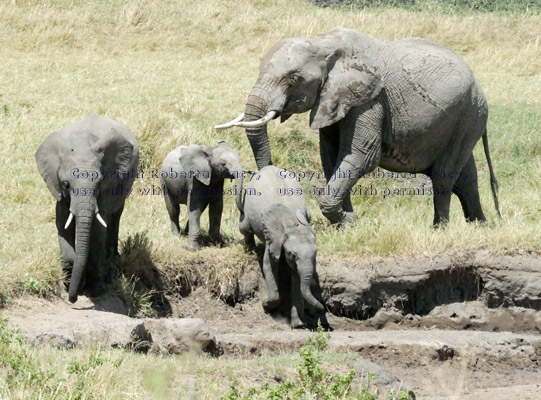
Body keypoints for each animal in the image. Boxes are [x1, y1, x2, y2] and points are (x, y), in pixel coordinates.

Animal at [34, 112, 138, 304]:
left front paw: (94, 291)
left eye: (98, 184)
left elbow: (97, 230)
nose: (72, 299)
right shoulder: (59, 190)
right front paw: (70, 285)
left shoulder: (108, 187)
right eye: (66, 184)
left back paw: (112, 259)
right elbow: (62, 224)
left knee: (116, 215)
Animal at [214, 27, 498, 228]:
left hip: (469, 113)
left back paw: (440, 229)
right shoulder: (332, 99)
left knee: (444, 175)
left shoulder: (370, 98)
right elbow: (331, 157)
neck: (322, 41)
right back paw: (480, 226)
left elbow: (362, 156)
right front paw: (346, 223)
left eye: (293, 78)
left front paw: (351, 221)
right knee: (466, 176)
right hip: (464, 117)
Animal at [238, 166, 322, 328]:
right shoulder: (272, 236)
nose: (322, 308)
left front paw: (298, 325)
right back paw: (250, 248)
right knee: (244, 228)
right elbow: (269, 264)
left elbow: (296, 276)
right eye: (292, 254)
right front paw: (266, 305)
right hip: (247, 205)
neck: (293, 223)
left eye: (315, 254)